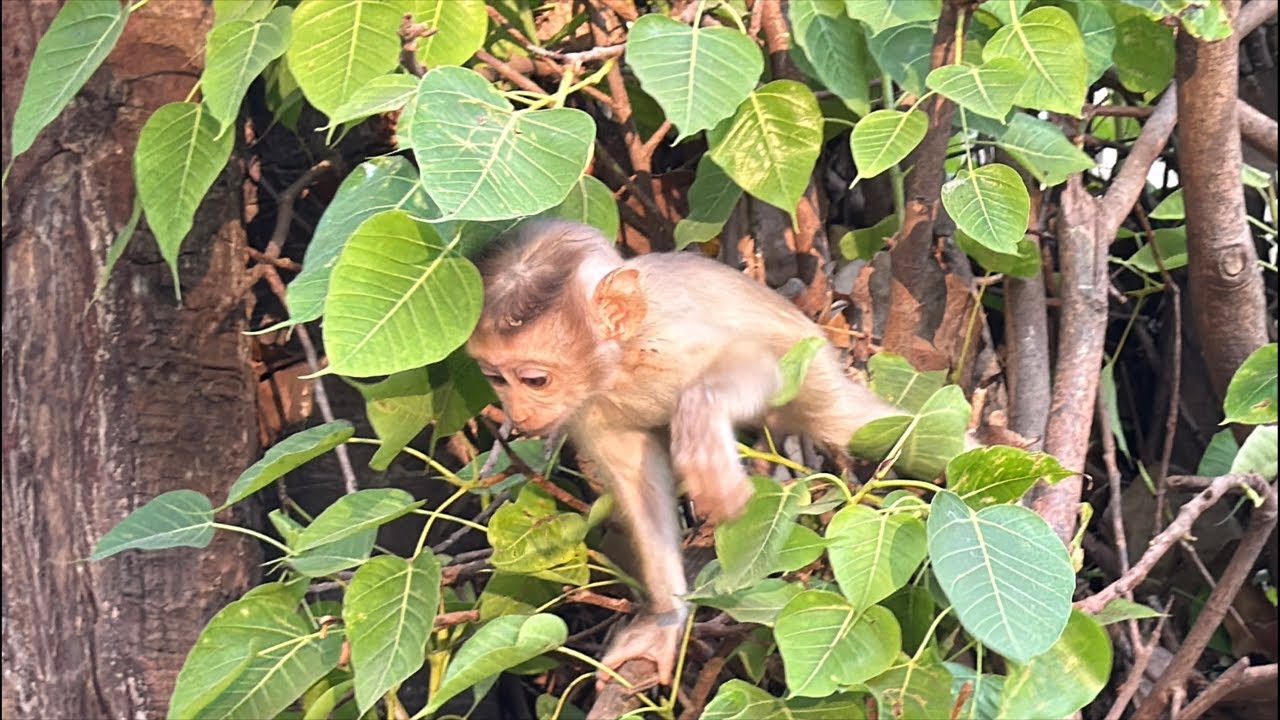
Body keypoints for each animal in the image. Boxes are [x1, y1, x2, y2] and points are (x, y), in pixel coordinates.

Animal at [465, 219, 924, 687]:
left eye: (535, 380)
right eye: (496, 379)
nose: (519, 413)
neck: (621, 363)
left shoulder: (673, 344)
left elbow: (750, 359)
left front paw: (701, 427)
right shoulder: (589, 410)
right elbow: (640, 486)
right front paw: (668, 618)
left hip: (814, 374)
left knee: (860, 422)